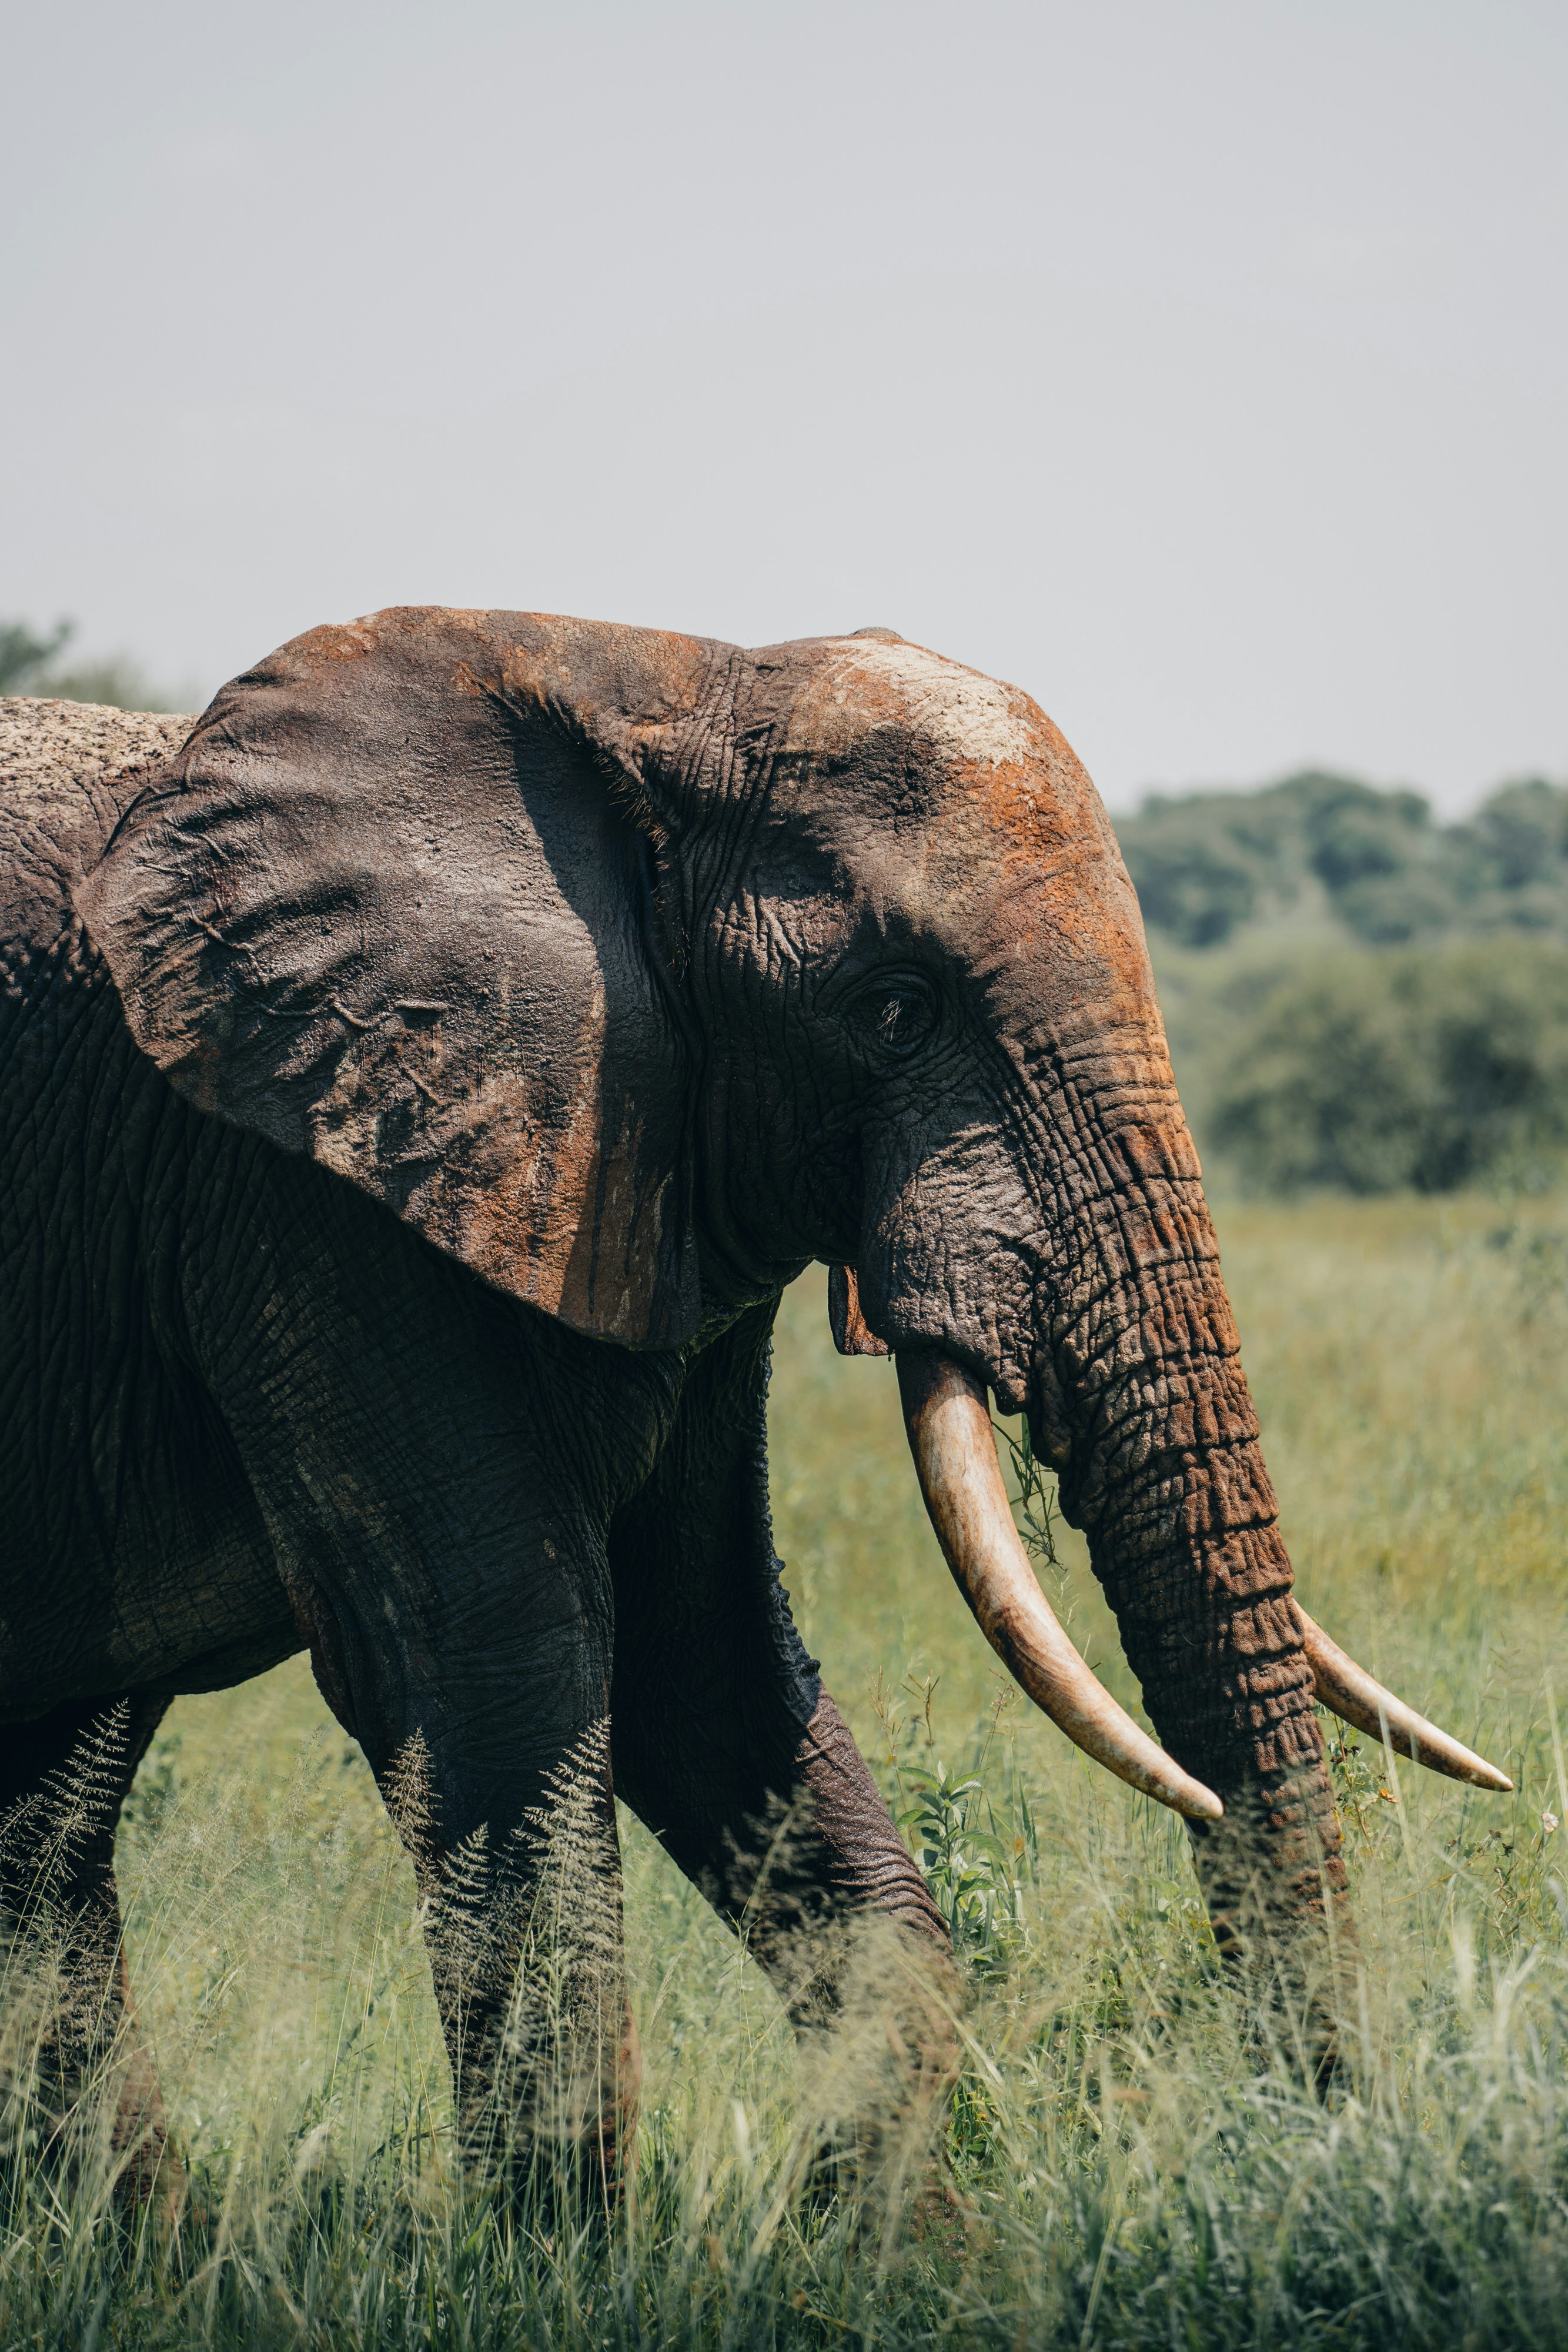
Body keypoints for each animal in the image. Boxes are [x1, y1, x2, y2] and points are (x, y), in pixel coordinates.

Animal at [0, 614, 1507, 2192]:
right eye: (894, 1010)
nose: (1301, 2136)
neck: (654, 680)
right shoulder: (314, 1193)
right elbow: (491, 1676)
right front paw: (563, 2255)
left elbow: (709, 1658)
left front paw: (881, 2243)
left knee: (50, 1819)